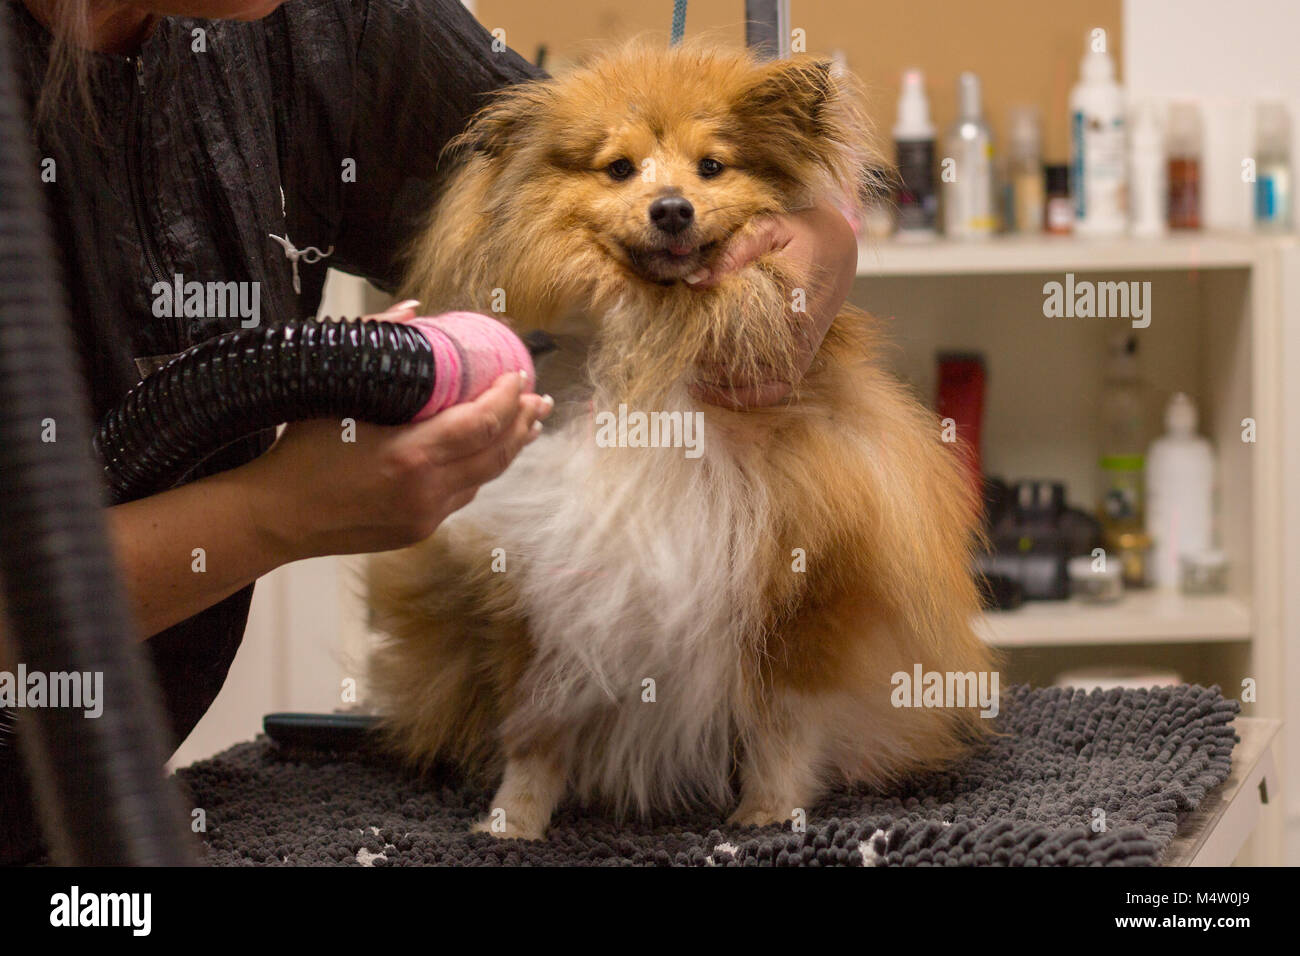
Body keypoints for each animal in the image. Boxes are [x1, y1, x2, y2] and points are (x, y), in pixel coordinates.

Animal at [366, 42, 993, 837]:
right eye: (619, 168)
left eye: (712, 166)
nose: (670, 208)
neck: (659, 341)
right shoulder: (537, 588)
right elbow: (534, 733)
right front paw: (513, 822)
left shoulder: (805, 588)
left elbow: (783, 727)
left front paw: (767, 813)